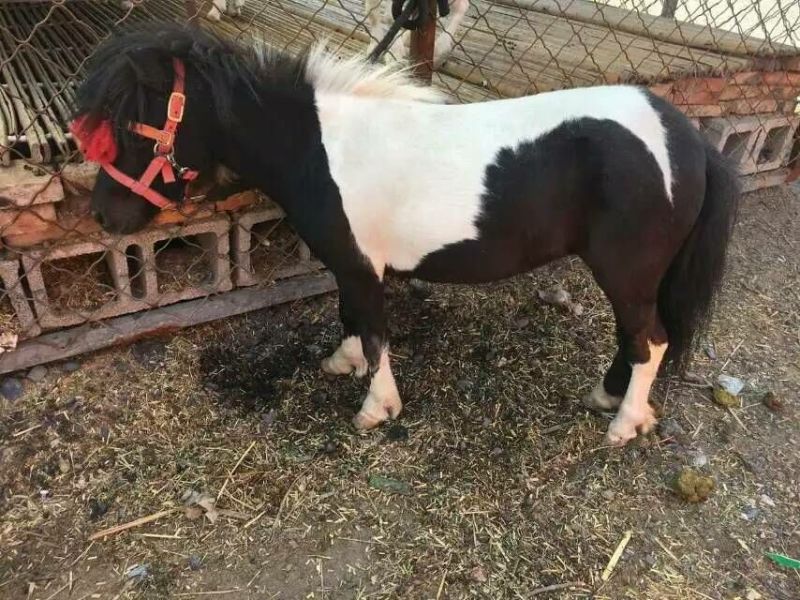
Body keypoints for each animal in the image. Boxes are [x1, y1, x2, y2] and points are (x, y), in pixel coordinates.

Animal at [71, 25, 739, 446]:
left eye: (132, 124)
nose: (104, 217)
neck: (320, 146)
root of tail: (688, 138)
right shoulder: (348, 263)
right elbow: (349, 317)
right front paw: (341, 363)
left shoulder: (362, 265)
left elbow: (373, 331)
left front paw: (377, 408)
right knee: (637, 339)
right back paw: (607, 397)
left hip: (626, 270)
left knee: (650, 340)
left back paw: (623, 424)